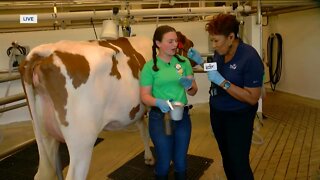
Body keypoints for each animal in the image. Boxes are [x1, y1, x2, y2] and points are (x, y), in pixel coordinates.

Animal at [19, 33, 195, 179]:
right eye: (188, 44)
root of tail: (45, 52)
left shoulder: (138, 109)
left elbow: (143, 131)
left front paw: (148, 157)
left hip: (44, 135)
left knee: (42, 173)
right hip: (82, 141)